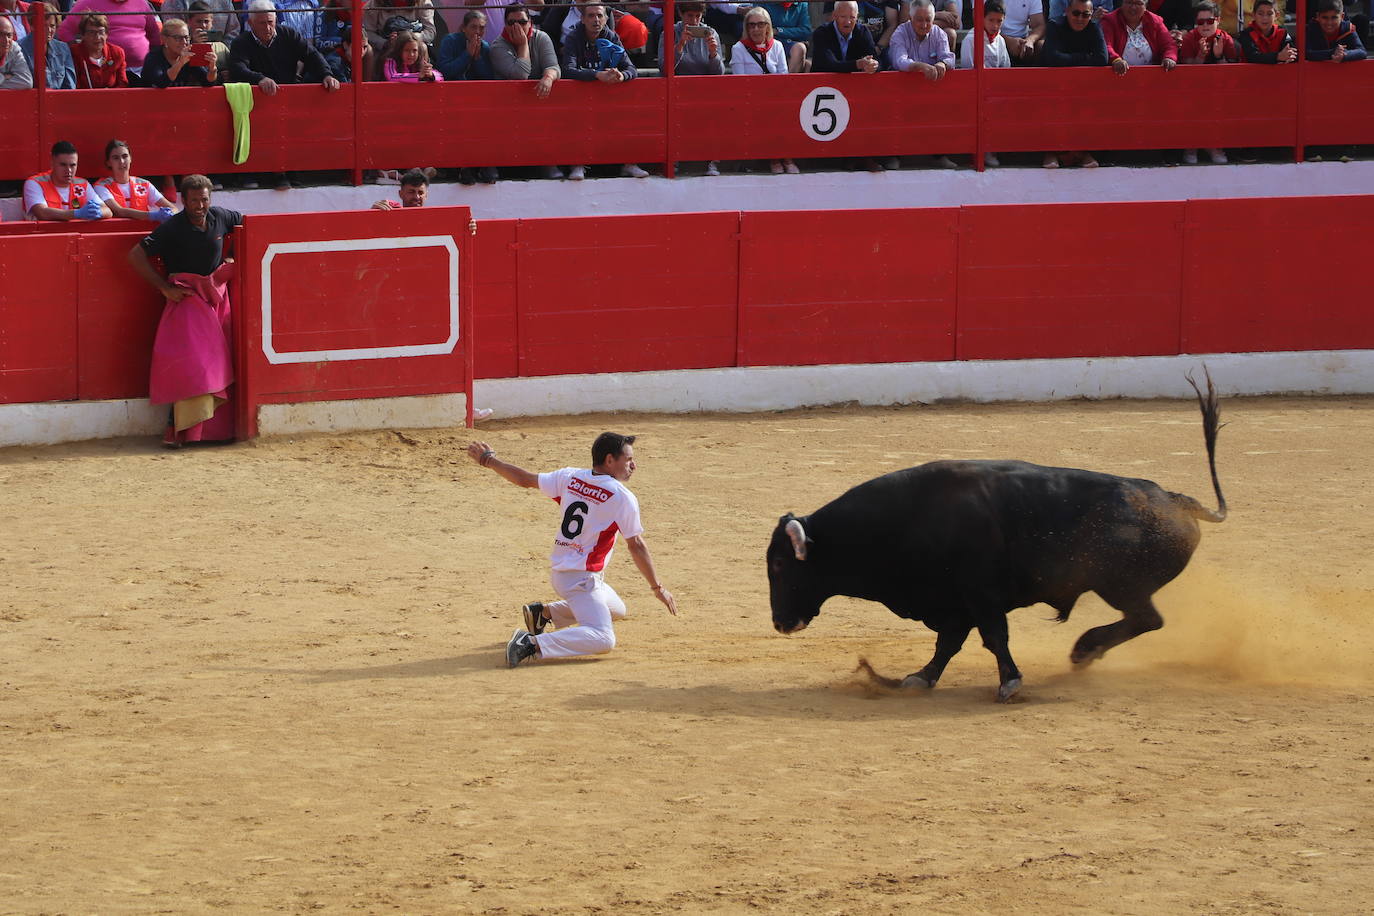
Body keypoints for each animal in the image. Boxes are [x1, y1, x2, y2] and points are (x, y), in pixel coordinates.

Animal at [769, 373, 1231, 703]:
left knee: (1147, 619)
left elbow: (992, 637)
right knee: (1144, 620)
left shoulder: (980, 596)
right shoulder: (953, 602)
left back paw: (1084, 649)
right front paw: (919, 678)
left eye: (778, 564)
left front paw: (1009, 683)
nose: (779, 623)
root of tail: (1176, 500)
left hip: (1121, 585)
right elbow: (948, 643)